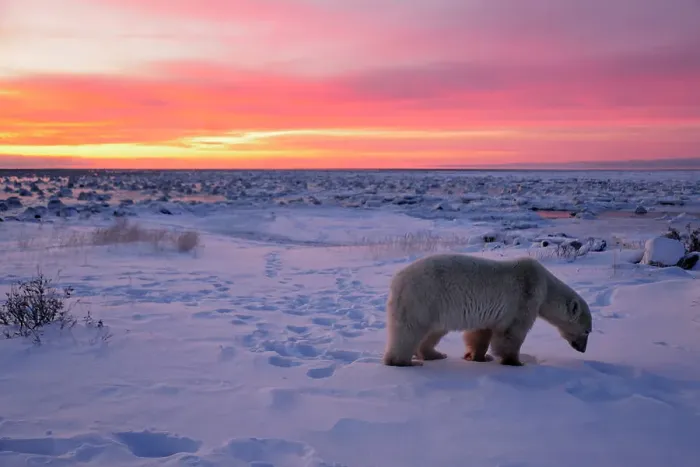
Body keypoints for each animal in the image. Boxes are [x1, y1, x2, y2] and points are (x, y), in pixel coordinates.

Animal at [382, 253, 592, 367]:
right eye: (587, 331)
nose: (583, 349)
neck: (546, 286)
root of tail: (396, 280)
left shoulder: (490, 314)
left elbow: (480, 333)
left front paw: (479, 357)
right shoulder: (525, 297)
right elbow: (511, 334)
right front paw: (516, 362)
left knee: (434, 331)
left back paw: (435, 354)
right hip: (423, 298)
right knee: (409, 331)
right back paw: (404, 361)